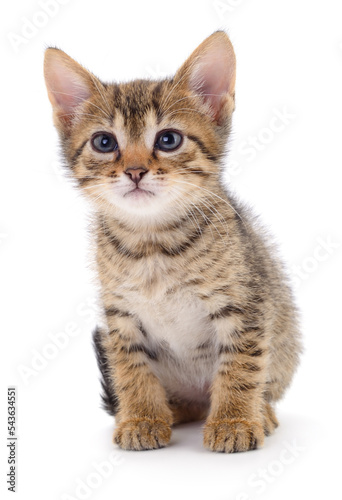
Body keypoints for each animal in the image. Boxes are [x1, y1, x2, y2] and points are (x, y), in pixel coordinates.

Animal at [43, 31, 302, 454]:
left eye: (168, 139)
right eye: (104, 142)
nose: (134, 171)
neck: (153, 244)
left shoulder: (245, 305)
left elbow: (241, 364)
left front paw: (234, 421)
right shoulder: (121, 316)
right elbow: (131, 368)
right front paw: (142, 417)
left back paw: (257, 412)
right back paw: (164, 411)